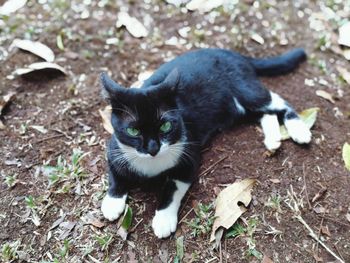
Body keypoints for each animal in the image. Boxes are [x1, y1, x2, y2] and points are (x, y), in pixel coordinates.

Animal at [100, 47, 310, 239]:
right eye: (133, 131)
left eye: (166, 126)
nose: (153, 148)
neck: (151, 165)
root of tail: (231, 53)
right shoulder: (114, 149)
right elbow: (115, 175)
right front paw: (112, 202)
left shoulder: (188, 158)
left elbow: (172, 188)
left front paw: (163, 220)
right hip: (237, 108)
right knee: (264, 113)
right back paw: (273, 139)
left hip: (244, 89)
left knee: (275, 101)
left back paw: (299, 129)